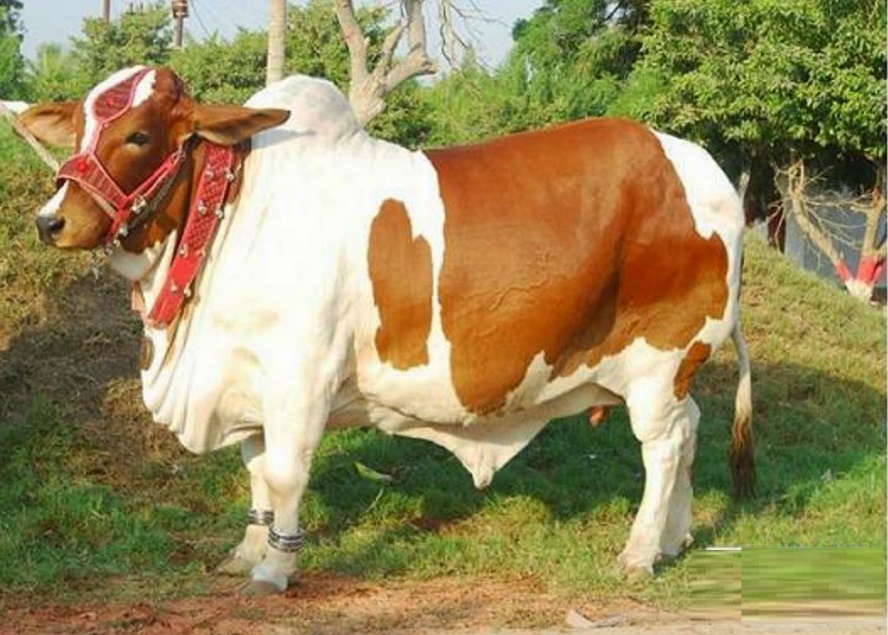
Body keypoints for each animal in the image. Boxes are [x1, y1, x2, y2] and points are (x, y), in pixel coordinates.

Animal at [20, 68, 752, 596]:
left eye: (139, 136)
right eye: (80, 127)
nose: (51, 220)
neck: (236, 211)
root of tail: (701, 166)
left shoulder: (300, 373)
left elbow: (285, 473)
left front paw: (276, 568)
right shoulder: (248, 376)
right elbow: (256, 471)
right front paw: (248, 549)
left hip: (660, 359)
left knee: (664, 446)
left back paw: (637, 552)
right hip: (671, 372)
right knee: (691, 429)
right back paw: (676, 538)